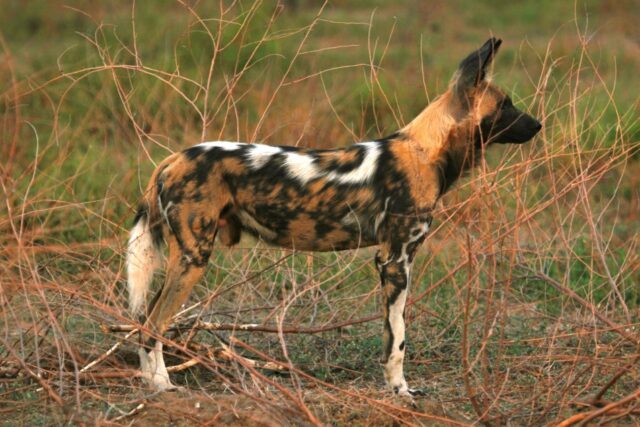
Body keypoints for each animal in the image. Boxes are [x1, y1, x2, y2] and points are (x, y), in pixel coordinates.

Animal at [129, 38, 540, 396]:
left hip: (185, 259)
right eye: (506, 105)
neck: (425, 151)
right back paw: (162, 385)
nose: (537, 125)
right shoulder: (395, 261)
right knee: (153, 325)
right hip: (194, 258)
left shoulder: (391, 261)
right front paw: (400, 391)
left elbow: (392, 337)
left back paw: (150, 381)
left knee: (142, 321)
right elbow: (398, 340)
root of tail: (173, 159)